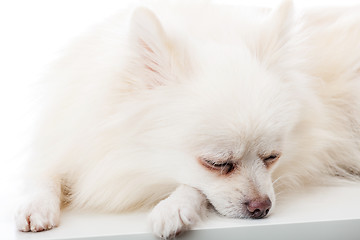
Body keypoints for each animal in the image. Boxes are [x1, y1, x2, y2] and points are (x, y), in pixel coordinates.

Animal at [14, 0, 360, 238]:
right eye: (217, 163)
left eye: (272, 158)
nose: (262, 207)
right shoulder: (66, 134)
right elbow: (44, 172)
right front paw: (34, 204)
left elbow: (194, 187)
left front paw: (174, 207)